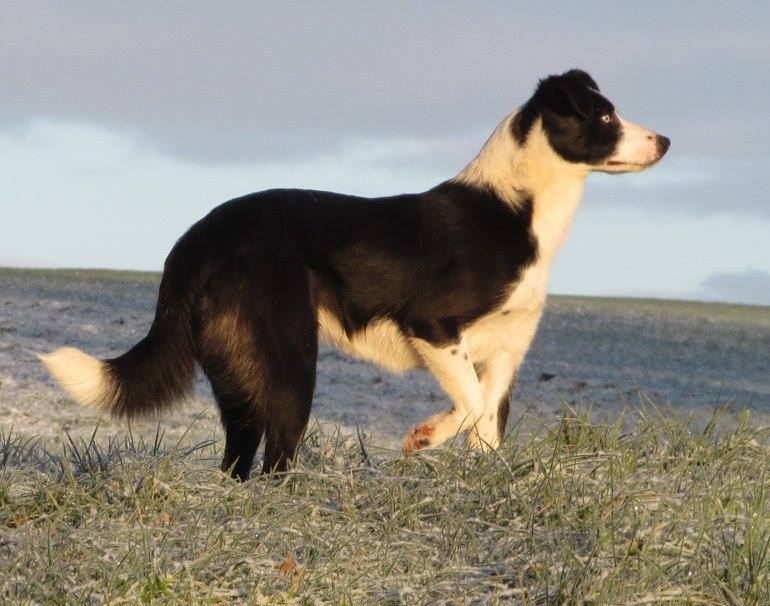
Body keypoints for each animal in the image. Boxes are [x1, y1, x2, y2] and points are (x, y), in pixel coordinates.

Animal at [39, 69, 668, 482]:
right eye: (605, 114)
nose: (664, 140)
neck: (519, 205)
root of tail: (195, 240)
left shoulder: (506, 355)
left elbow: (486, 424)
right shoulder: (433, 324)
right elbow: (466, 404)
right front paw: (426, 436)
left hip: (239, 373)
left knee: (240, 461)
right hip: (291, 363)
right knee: (276, 459)